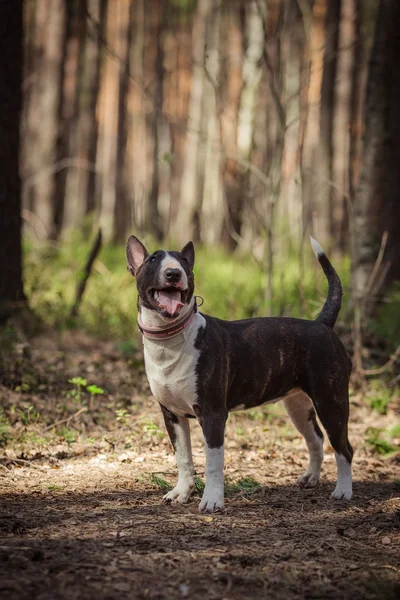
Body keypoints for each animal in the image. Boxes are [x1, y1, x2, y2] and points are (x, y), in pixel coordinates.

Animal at [126, 237, 354, 512]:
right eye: (153, 260)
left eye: (183, 263)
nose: (173, 273)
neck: (171, 339)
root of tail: (321, 324)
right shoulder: (172, 414)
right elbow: (183, 457)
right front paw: (181, 492)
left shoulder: (213, 414)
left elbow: (213, 463)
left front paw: (212, 501)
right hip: (298, 405)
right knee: (316, 439)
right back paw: (310, 477)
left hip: (331, 401)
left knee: (344, 447)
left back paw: (343, 491)